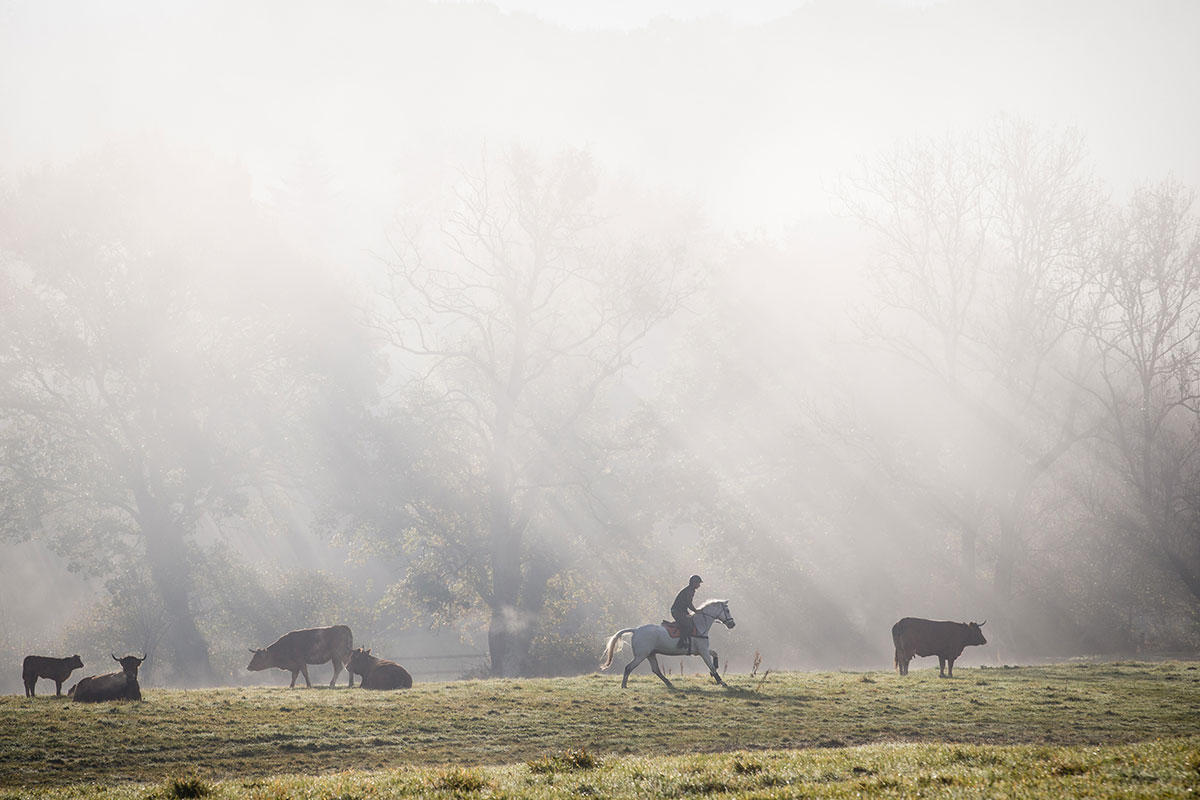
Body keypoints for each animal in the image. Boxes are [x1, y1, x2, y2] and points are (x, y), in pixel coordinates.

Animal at [597, 599, 729, 690]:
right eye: (727, 610)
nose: (732, 624)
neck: (700, 624)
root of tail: (635, 630)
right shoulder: (702, 651)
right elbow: (711, 665)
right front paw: (721, 682)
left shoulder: (702, 650)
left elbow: (715, 654)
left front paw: (715, 672)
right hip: (641, 655)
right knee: (629, 667)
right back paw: (624, 685)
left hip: (650, 654)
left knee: (656, 669)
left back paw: (668, 683)